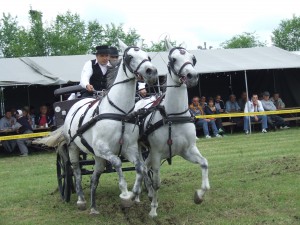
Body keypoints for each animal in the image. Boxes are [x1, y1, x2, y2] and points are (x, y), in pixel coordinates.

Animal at [35, 40, 159, 214]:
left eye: (147, 56)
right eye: (129, 57)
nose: (152, 72)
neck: (119, 112)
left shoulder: (130, 148)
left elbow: (140, 167)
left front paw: (136, 194)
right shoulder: (103, 148)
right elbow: (118, 163)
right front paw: (125, 194)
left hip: (98, 157)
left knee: (95, 175)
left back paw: (93, 207)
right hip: (73, 149)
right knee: (76, 172)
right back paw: (80, 200)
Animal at [135, 39, 209, 217]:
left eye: (193, 58)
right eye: (173, 59)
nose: (192, 76)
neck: (173, 117)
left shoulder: (187, 150)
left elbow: (204, 163)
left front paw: (199, 195)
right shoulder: (156, 153)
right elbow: (156, 183)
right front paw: (153, 209)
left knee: (145, 167)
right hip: (139, 147)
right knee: (142, 169)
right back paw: (140, 193)